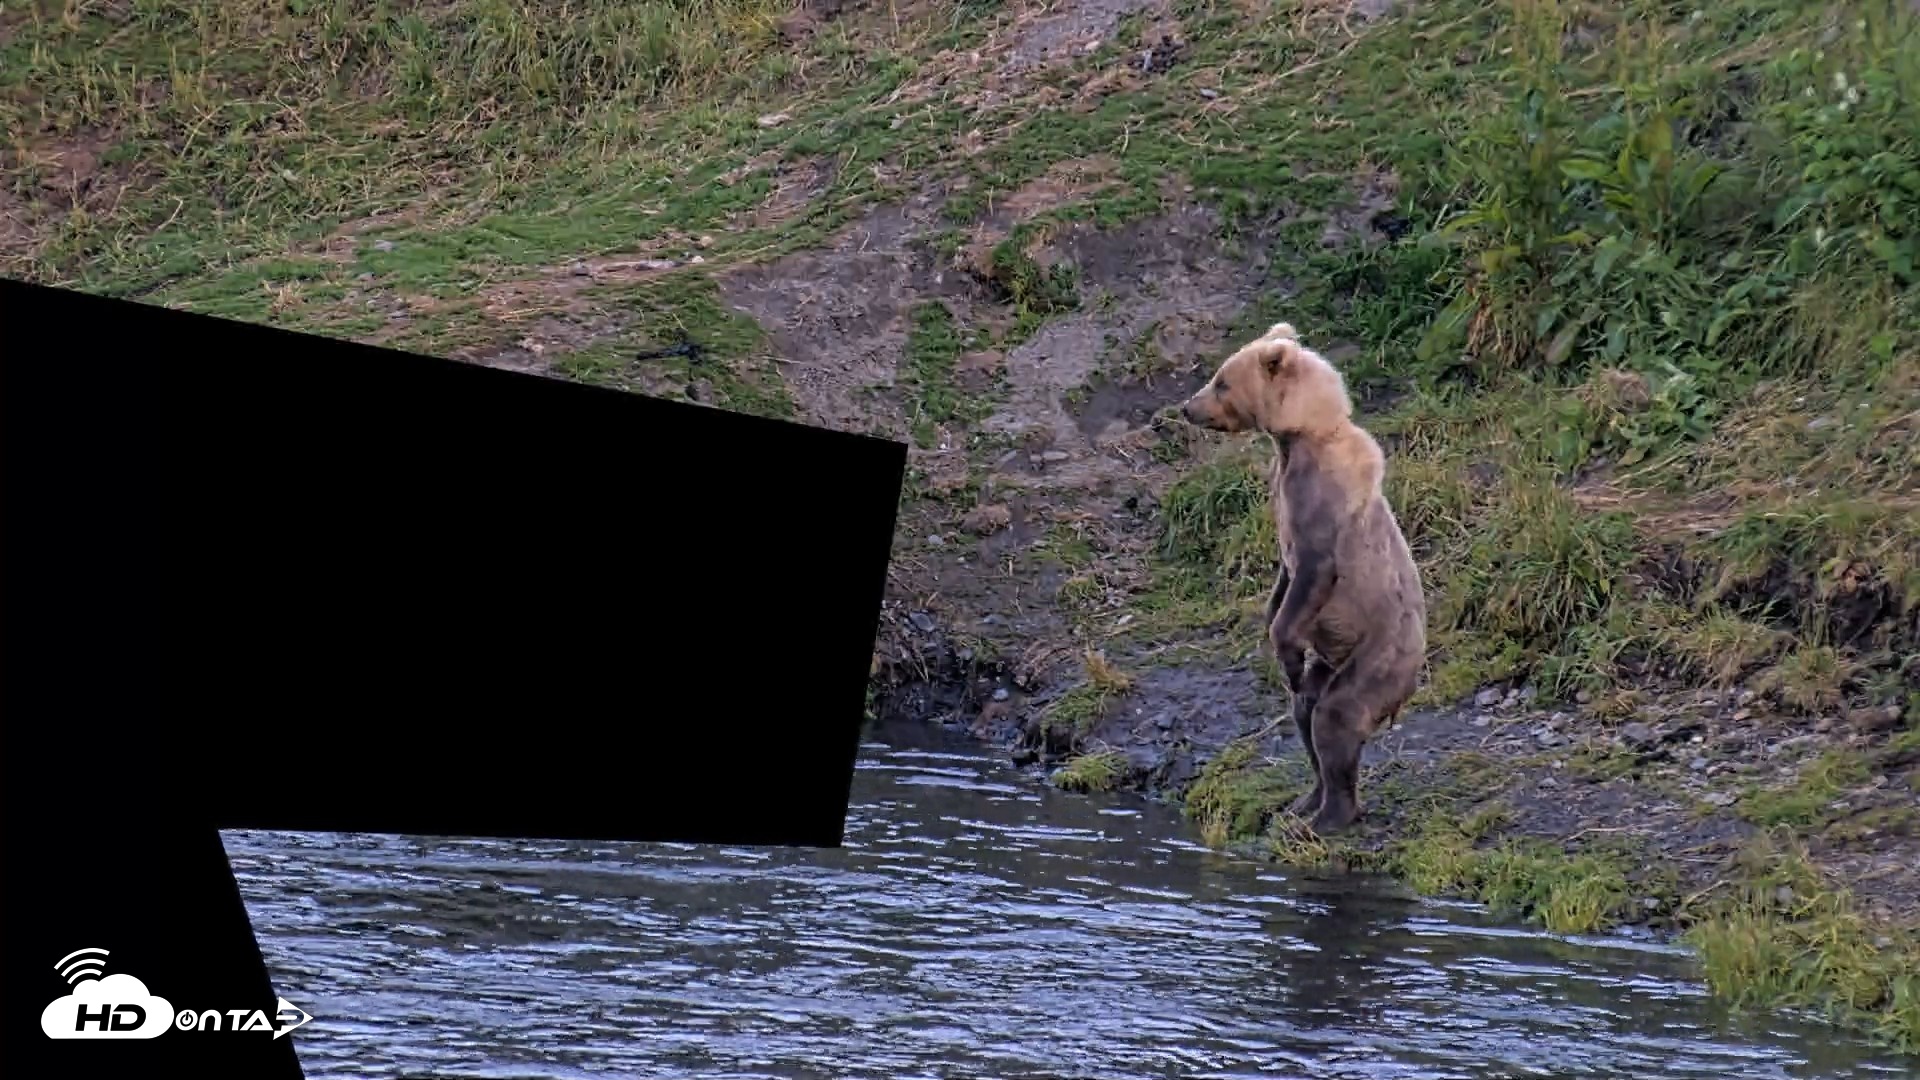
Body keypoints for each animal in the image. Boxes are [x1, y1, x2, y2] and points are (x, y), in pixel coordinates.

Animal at [1178, 322, 1427, 834]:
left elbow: (1311, 574)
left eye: (1221, 381)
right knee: (1306, 708)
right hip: (1333, 654)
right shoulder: (1283, 496)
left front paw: (1284, 650)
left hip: (1381, 654)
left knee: (1335, 717)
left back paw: (1327, 816)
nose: (1187, 407)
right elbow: (1283, 580)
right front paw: (1272, 622)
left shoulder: (1323, 510)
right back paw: (1304, 801)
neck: (1299, 439)